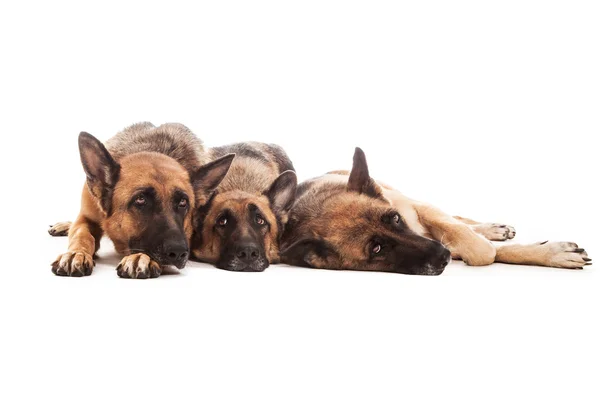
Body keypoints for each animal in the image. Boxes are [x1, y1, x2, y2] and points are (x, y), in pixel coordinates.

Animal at [48, 122, 234, 278]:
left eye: (183, 203)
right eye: (141, 200)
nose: (179, 252)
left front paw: (140, 257)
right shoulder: (86, 217)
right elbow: (82, 235)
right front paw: (76, 254)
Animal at [280, 147, 592, 276]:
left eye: (395, 219)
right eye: (377, 248)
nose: (443, 255)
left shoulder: (418, 211)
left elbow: (481, 248)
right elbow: (483, 250)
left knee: (460, 221)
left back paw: (492, 229)